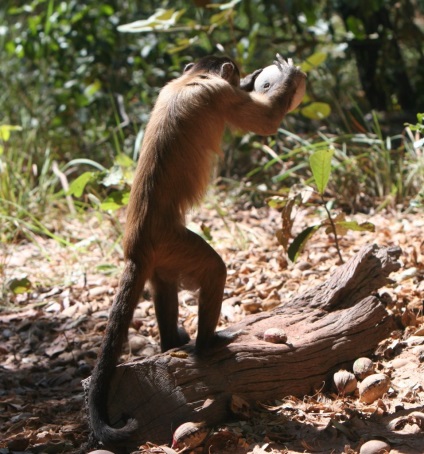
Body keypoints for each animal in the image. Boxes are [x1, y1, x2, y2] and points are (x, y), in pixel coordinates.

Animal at [88, 55, 304, 448]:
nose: (246, 76)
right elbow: (265, 123)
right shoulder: (218, 94)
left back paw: (172, 342)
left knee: (163, 284)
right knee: (214, 269)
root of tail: (135, 244)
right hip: (172, 241)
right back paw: (207, 345)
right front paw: (288, 77)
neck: (190, 80)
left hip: (162, 253)